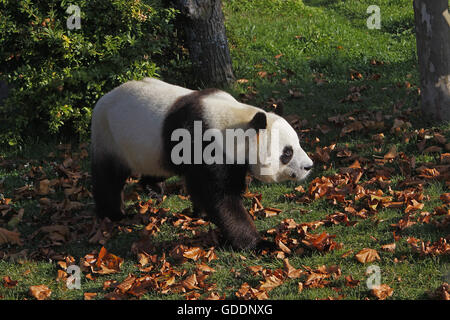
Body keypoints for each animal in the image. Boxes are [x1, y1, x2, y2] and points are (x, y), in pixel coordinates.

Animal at [91, 77, 312, 250]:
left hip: (153, 149)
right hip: (109, 136)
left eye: (298, 144)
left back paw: (153, 189)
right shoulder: (203, 144)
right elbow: (219, 197)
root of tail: (102, 99)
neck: (236, 121)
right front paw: (259, 243)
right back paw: (114, 214)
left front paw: (201, 213)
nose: (308, 167)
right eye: (287, 153)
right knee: (108, 178)